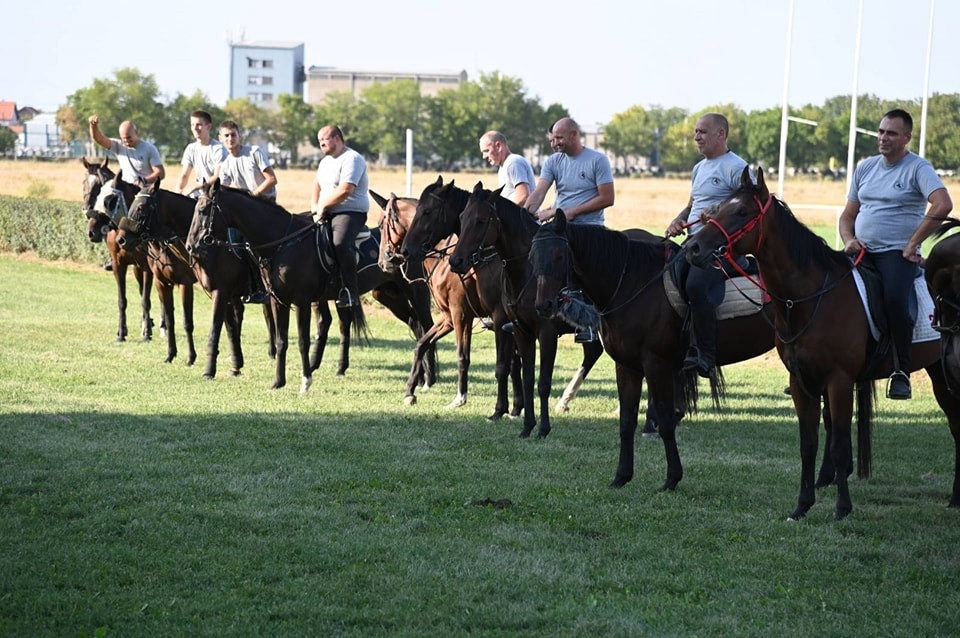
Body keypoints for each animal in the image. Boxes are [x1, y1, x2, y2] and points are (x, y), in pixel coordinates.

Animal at [82, 158, 156, 342]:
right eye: (83, 182)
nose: (91, 232)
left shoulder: (147, 267)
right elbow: (122, 300)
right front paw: (121, 332)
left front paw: (146, 333)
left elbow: (146, 299)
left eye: (109, 201)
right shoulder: (118, 265)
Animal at [115, 182, 198, 368]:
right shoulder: (162, 283)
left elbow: (187, 322)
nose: (121, 240)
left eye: (141, 208)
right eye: (130, 204)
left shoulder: (186, 283)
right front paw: (171, 354)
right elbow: (169, 319)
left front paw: (191, 357)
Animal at [450, 181, 608, 440]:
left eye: (481, 221)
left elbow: (542, 383)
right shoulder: (520, 331)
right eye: (463, 217)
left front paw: (543, 428)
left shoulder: (546, 334)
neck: (528, 273)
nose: (456, 261)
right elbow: (526, 378)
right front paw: (527, 426)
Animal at [528, 210, 776, 496]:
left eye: (559, 255)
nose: (543, 305)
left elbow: (666, 421)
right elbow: (626, 422)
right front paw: (621, 476)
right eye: (531, 257)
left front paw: (672, 478)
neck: (633, 285)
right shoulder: (627, 367)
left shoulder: (657, 365)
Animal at [688, 165, 956, 520]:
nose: (693, 248)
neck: (810, 297)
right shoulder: (802, 382)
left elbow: (840, 445)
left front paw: (842, 507)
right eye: (718, 209)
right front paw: (802, 505)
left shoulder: (838, 381)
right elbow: (808, 444)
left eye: (742, 212)